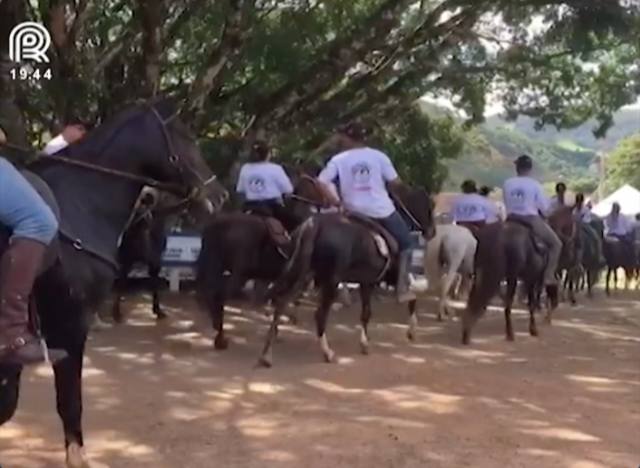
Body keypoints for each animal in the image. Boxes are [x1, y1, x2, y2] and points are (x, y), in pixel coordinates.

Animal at [258, 185, 436, 368]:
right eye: (429, 207)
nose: (432, 232)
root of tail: (314, 225)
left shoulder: (367, 282)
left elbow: (367, 312)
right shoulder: (385, 279)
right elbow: (410, 298)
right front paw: (410, 331)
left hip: (303, 273)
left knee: (281, 302)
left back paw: (267, 354)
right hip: (330, 281)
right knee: (319, 315)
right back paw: (327, 352)